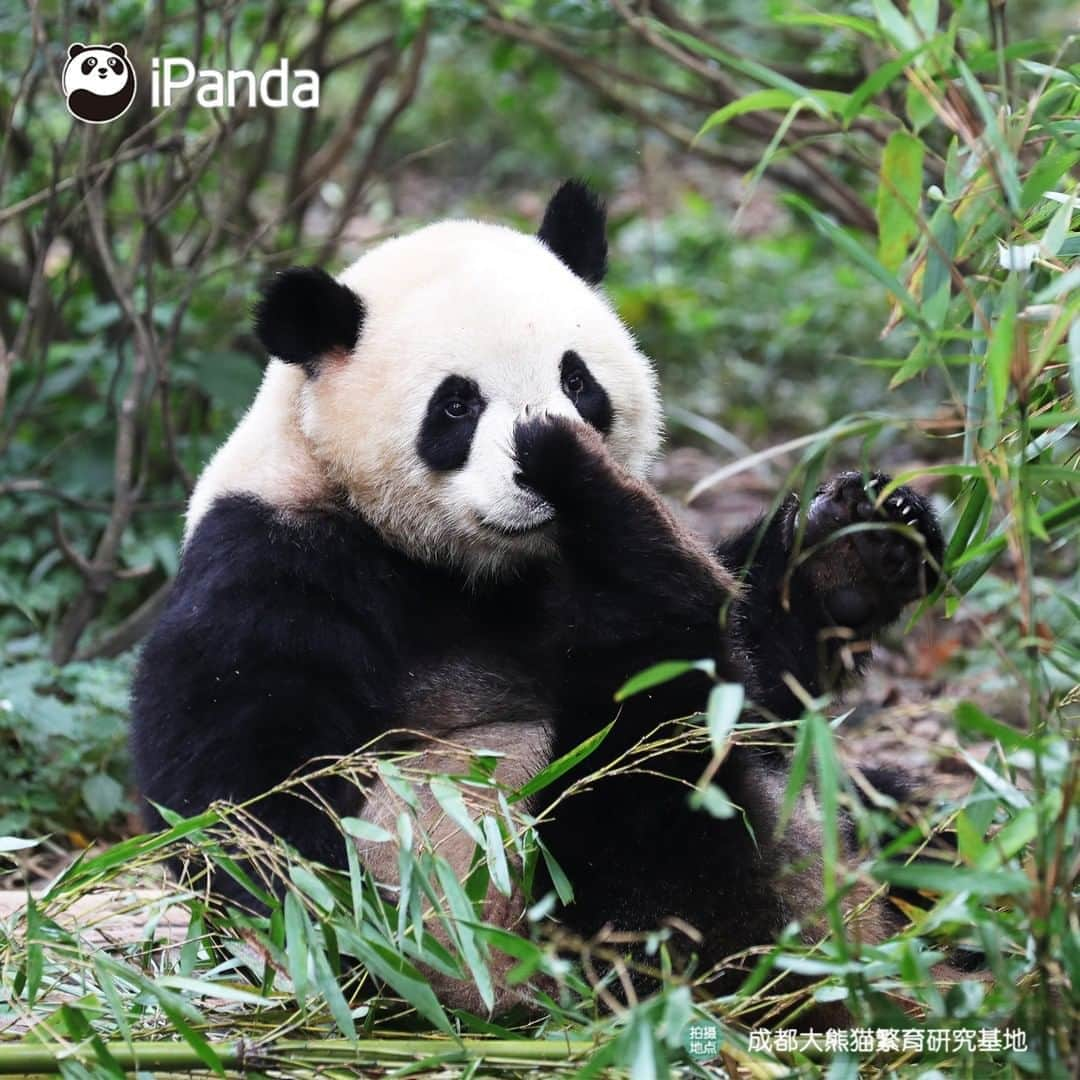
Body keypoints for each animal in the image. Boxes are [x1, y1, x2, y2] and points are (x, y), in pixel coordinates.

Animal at [130, 181, 941, 1015]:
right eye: (456, 406)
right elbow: (253, 800)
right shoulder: (276, 558)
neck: (475, 564)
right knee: (660, 835)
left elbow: (763, 670)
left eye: (577, 379)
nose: (538, 458)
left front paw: (857, 550)